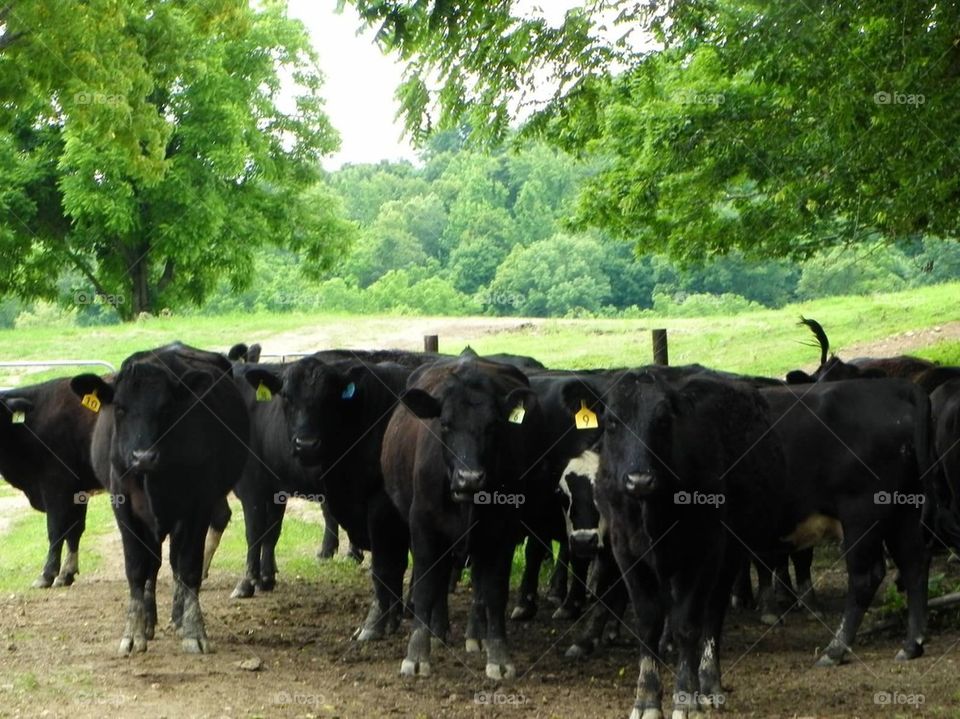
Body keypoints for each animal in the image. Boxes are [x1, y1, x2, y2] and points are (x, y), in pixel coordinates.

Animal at [0, 379, 101, 588]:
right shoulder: (77, 490)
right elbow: (74, 530)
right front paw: (66, 574)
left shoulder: (56, 487)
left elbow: (56, 531)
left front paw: (47, 574)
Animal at [70, 342, 249, 654]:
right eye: (120, 407)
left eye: (166, 408)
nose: (142, 456)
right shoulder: (124, 506)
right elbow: (137, 568)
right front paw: (133, 632)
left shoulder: (197, 505)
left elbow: (188, 566)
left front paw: (193, 630)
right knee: (153, 564)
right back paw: (149, 620)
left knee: (175, 561)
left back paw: (176, 616)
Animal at [243, 353, 415, 640]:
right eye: (286, 395)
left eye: (329, 397)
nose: (306, 445)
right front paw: (393, 619)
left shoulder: (382, 506)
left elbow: (384, 567)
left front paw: (373, 625)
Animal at [381, 357, 542, 680]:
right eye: (444, 424)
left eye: (493, 425)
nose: (469, 478)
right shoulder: (423, 526)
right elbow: (426, 586)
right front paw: (416, 655)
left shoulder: (503, 532)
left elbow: (494, 592)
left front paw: (499, 657)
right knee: (441, 579)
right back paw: (438, 632)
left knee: (478, 586)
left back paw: (475, 636)